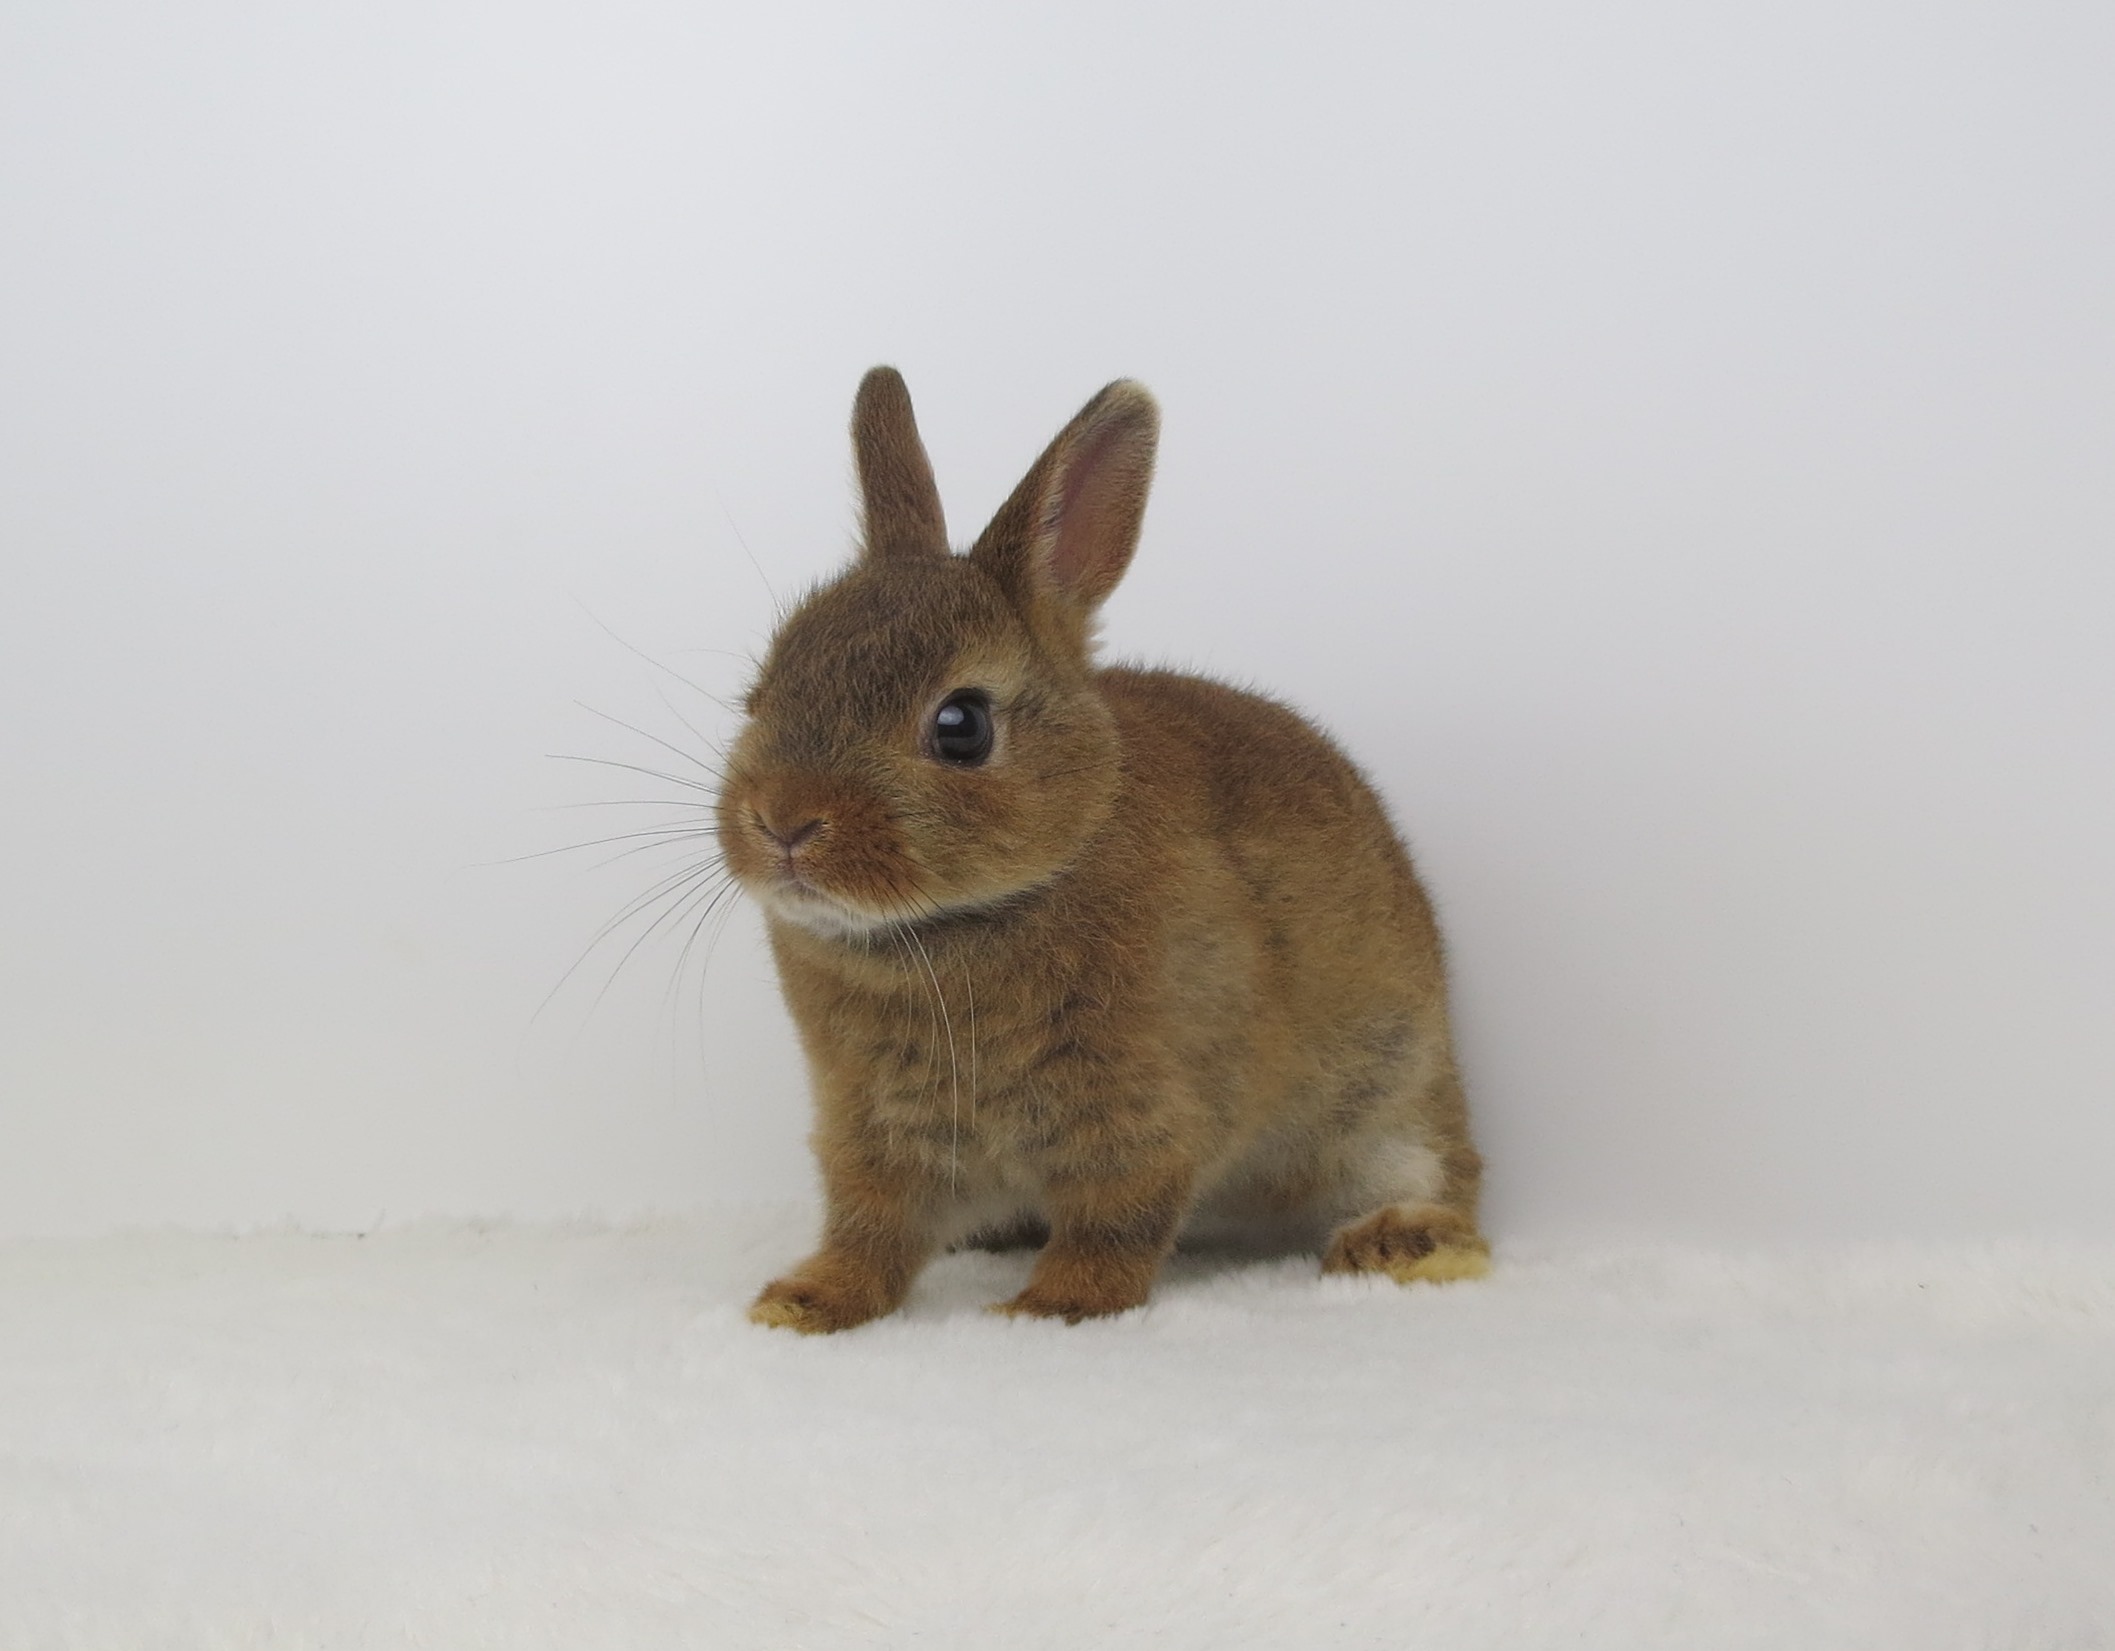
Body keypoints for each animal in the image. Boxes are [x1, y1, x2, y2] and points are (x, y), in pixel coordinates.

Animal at [717, 367, 1487, 1332]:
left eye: (961, 726)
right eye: (761, 689)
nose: (782, 822)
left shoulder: (1141, 1108)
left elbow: (1116, 1216)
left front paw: (1048, 1308)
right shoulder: (876, 1127)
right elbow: (870, 1226)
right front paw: (804, 1303)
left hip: (1393, 1087)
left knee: (1440, 1175)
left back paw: (1398, 1245)